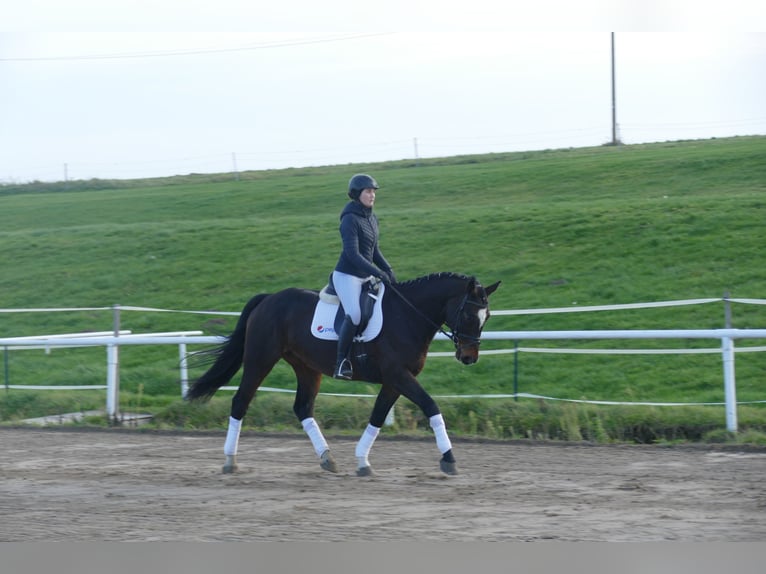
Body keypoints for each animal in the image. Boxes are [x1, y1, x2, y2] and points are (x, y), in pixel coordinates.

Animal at [183, 274, 500, 476]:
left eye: (487, 317)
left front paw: (362, 462)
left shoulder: (395, 380)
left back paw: (327, 458)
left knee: (303, 408)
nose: (469, 357)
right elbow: (431, 407)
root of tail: (269, 298)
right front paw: (449, 459)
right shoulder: (399, 376)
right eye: (469, 315)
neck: (408, 316)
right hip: (260, 359)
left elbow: (377, 417)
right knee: (240, 402)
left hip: (307, 368)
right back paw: (230, 461)